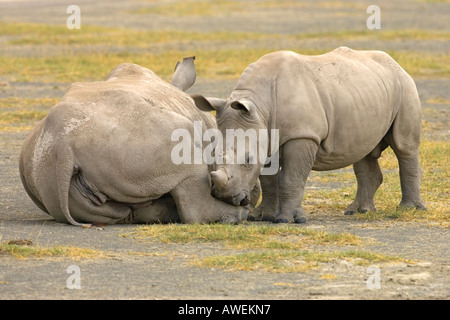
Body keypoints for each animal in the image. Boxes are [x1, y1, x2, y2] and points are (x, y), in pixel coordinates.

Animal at [192, 47, 426, 222]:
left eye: (248, 161)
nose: (224, 197)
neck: (259, 105)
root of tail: (396, 63)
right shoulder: (266, 137)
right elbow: (269, 180)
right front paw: (262, 216)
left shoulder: (302, 135)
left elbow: (291, 177)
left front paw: (287, 220)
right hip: (366, 94)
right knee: (363, 151)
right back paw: (359, 211)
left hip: (405, 85)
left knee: (404, 147)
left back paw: (410, 209)